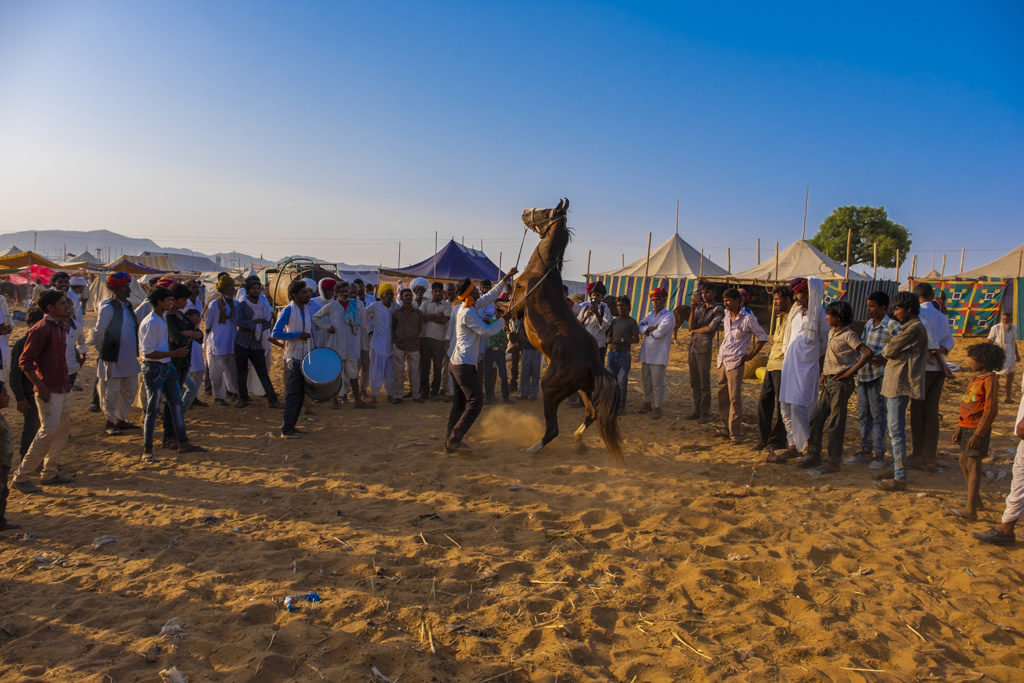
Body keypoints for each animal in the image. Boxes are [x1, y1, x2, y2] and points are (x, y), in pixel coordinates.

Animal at [512, 197, 622, 464]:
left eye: (545, 210)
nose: (524, 212)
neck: (541, 270)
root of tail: (592, 362)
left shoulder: (518, 302)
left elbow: (506, 311)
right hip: (583, 388)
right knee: (592, 414)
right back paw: (578, 440)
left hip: (551, 388)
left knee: (553, 429)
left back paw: (531, 449)